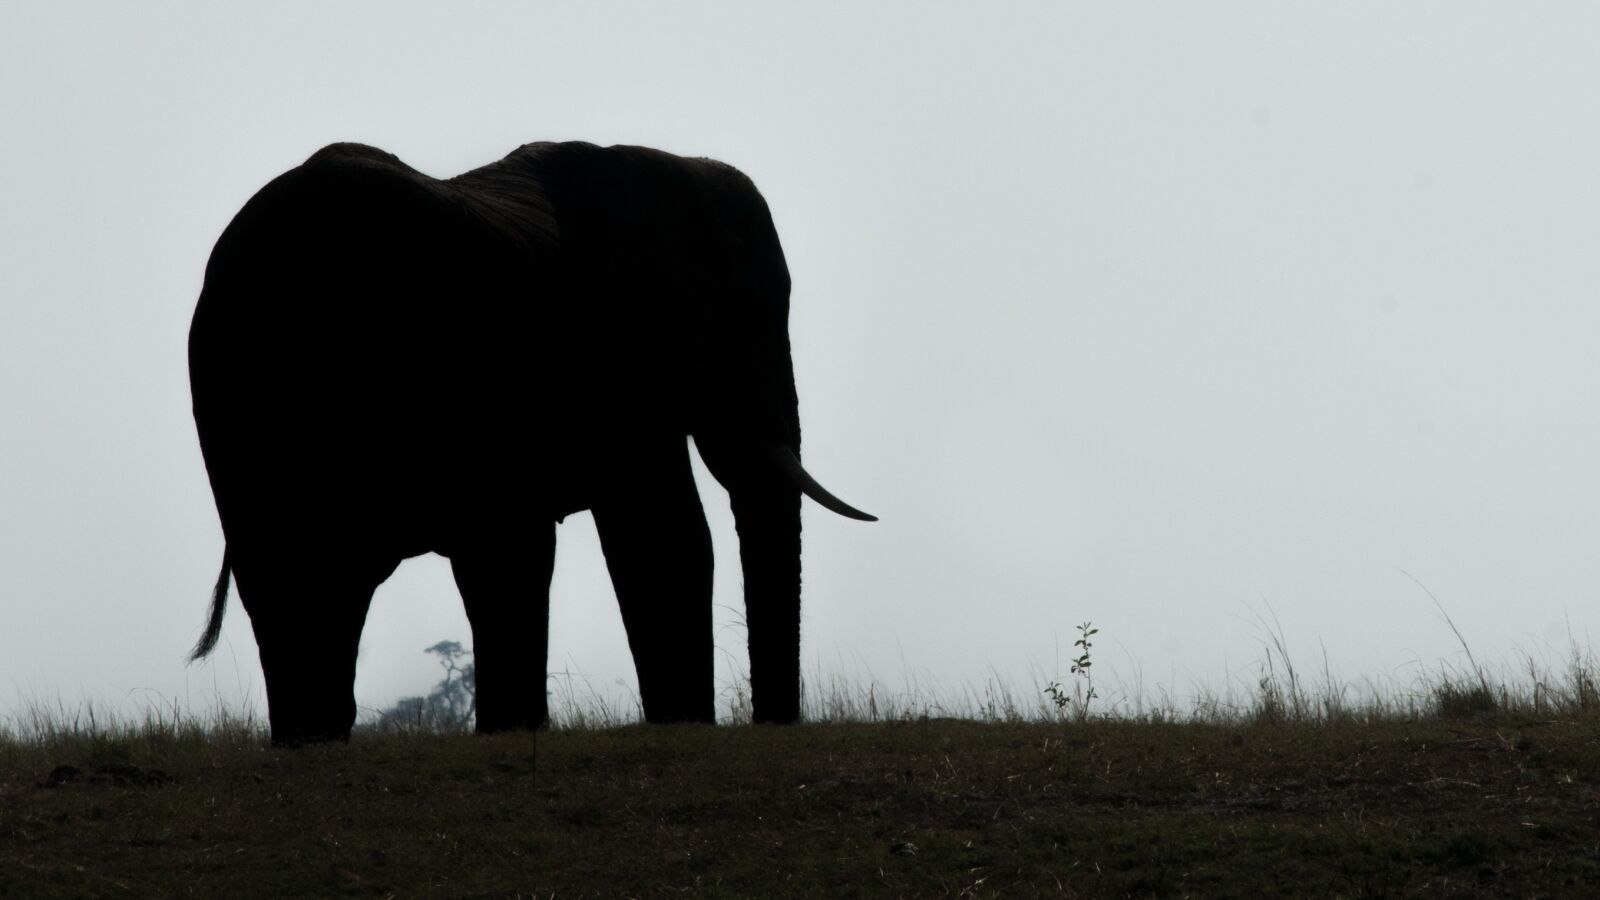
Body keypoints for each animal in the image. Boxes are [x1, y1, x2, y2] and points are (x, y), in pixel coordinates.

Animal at [187, 140, 874, 745]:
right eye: (751, 318)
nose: (772, 726)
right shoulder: (619, 358)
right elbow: (662, 536)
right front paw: (678, 727)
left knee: (304, 579)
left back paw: (310, 739)